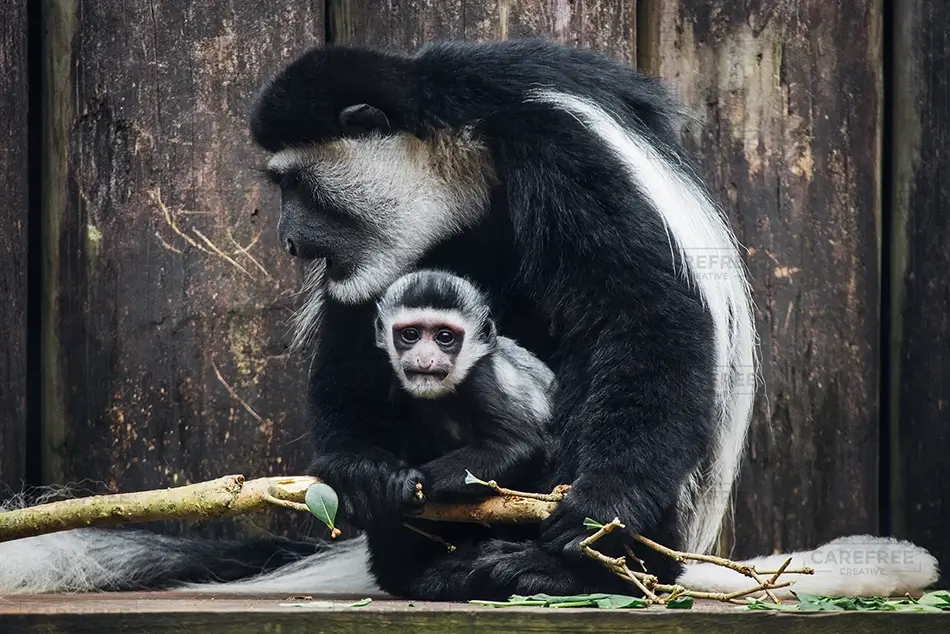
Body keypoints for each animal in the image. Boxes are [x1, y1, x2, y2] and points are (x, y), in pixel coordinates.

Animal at [0, 38, 939, 601]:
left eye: (298, 186)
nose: (290, 239)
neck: (466, 152)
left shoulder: (567, 156)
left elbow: (643, 315)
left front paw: (595, 511)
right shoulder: (382, 265)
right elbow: (355, 332)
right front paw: (361, 471)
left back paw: (542, 564)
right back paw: (422, 558)